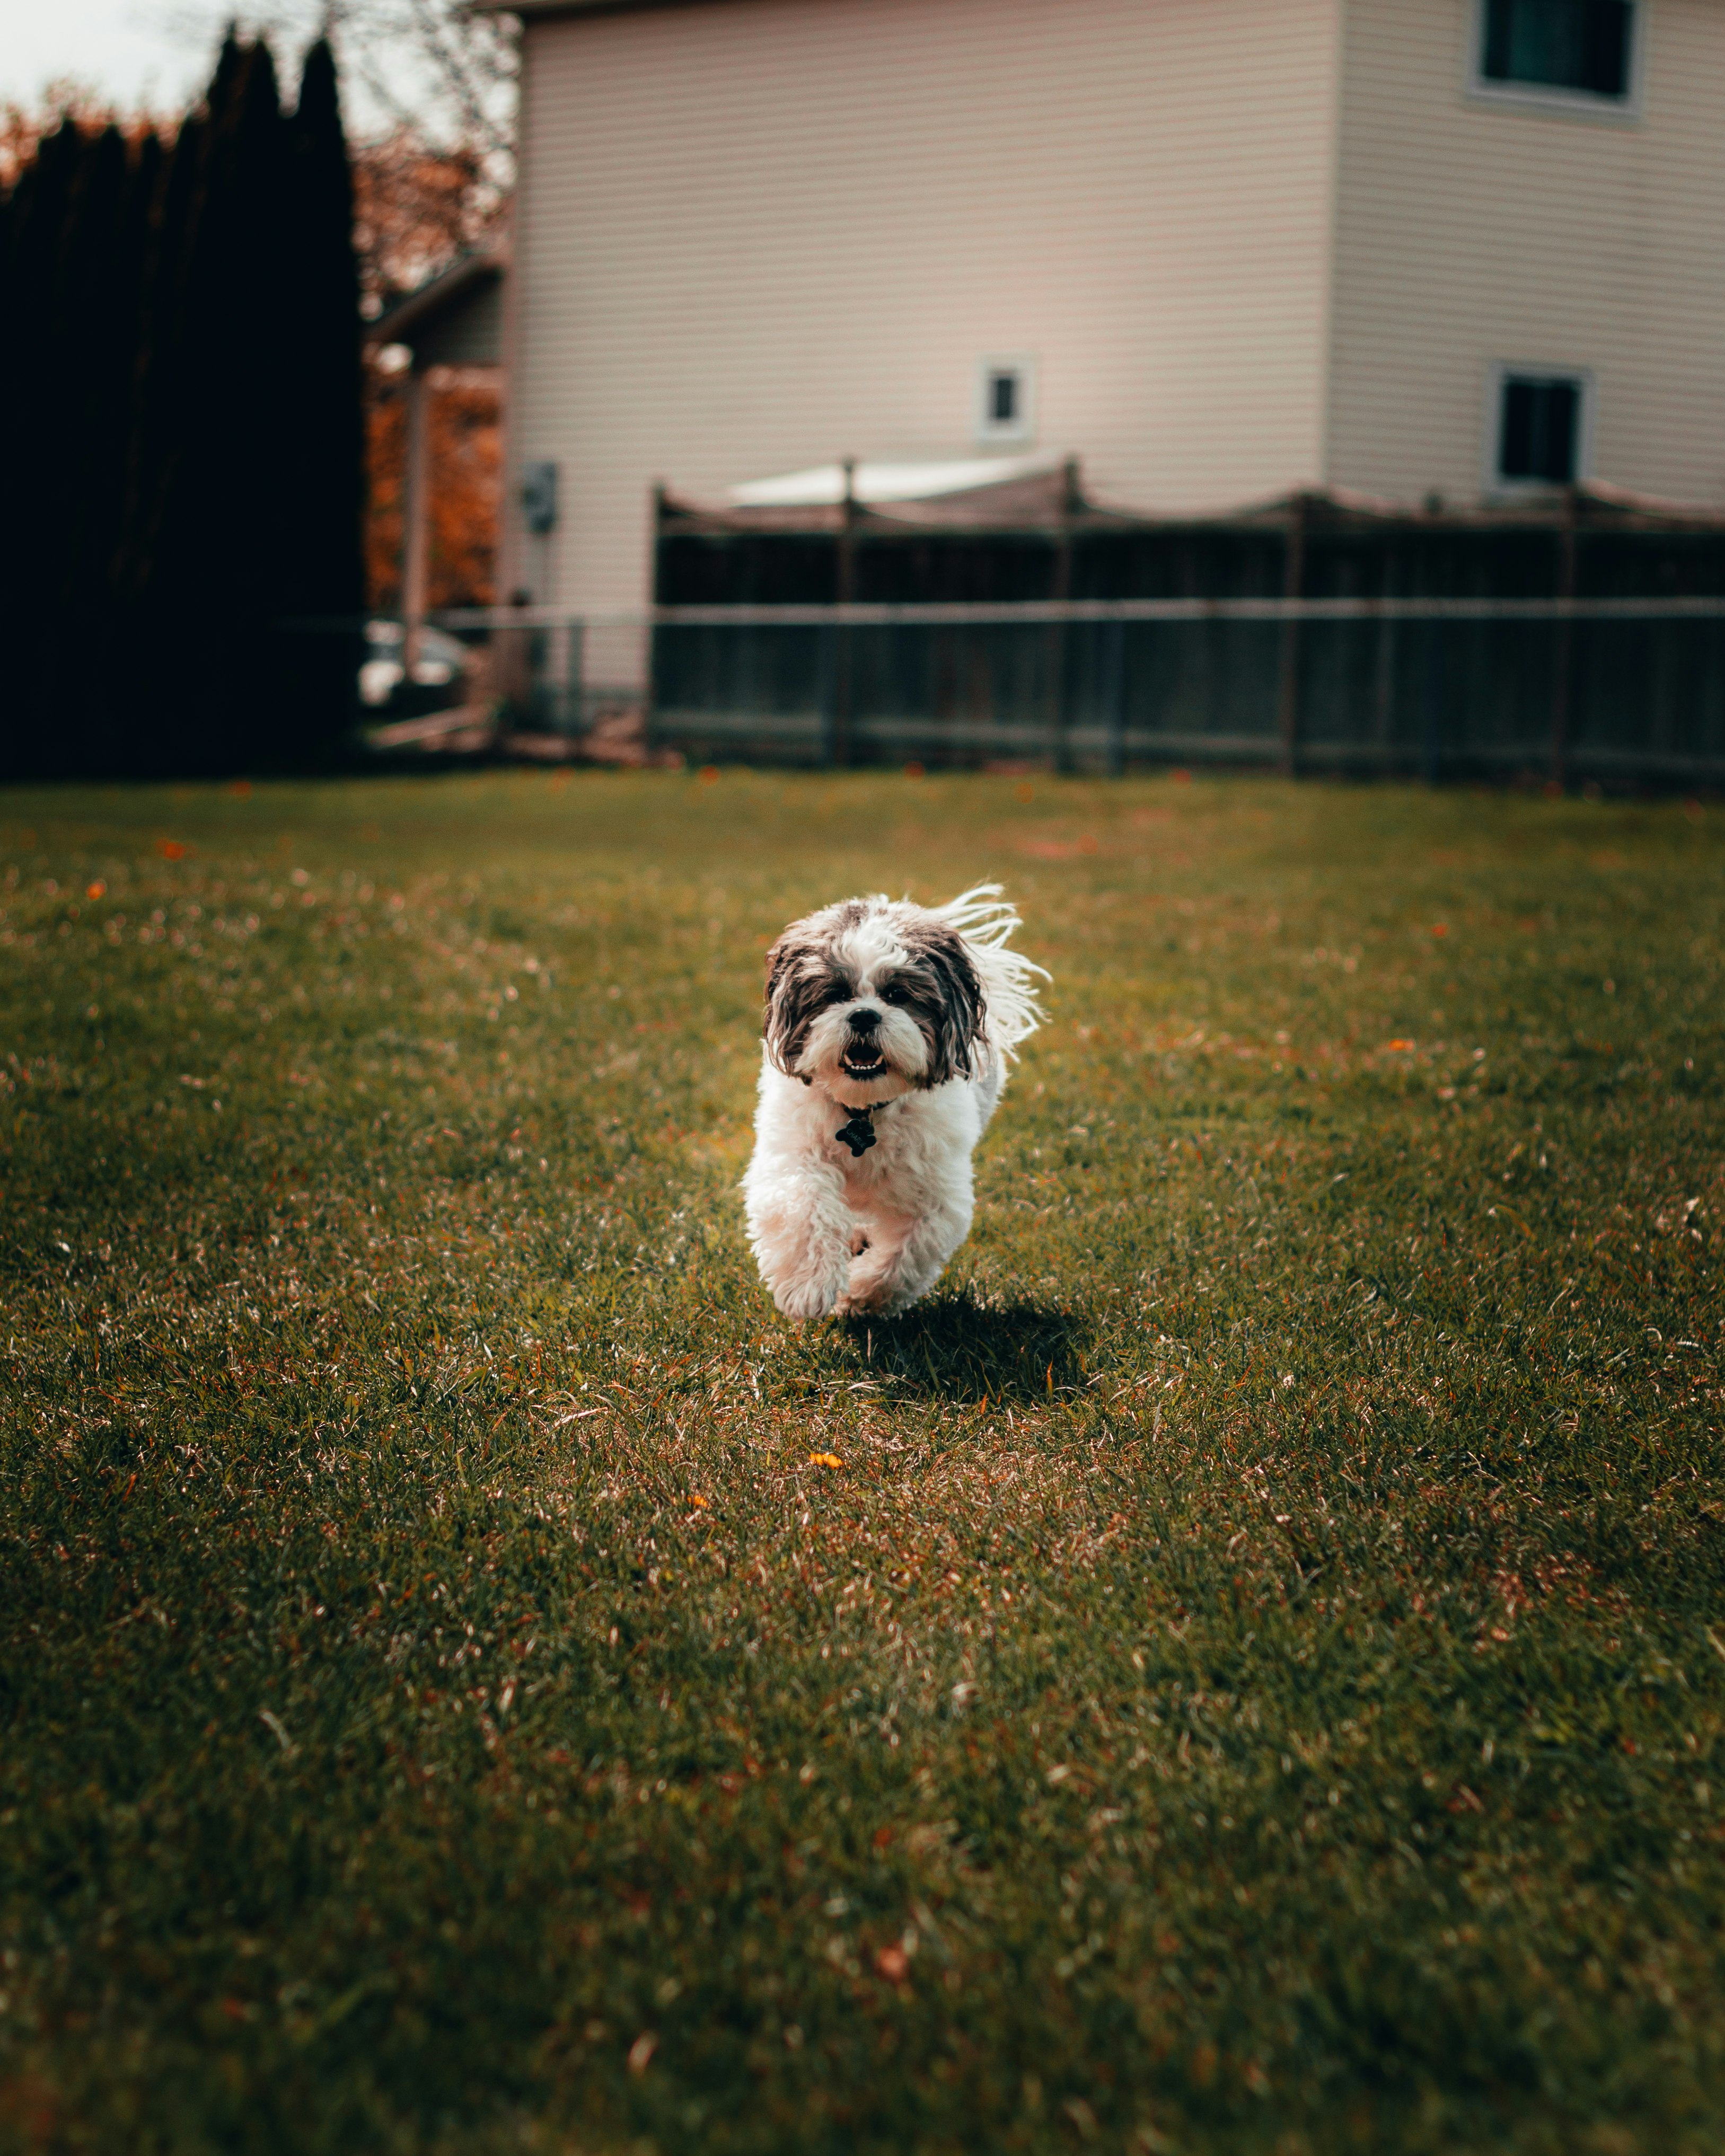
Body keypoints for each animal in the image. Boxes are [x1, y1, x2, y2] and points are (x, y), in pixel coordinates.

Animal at [737, 879, 1043, 1311]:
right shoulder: (793, 1154)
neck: (864, 1111)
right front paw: (808, 1286)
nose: (864, 1015)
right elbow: (805, 1205)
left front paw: (859, 1293)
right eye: (836, 993)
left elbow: (905, 1255)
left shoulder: (937, 1197)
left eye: (897, 994)